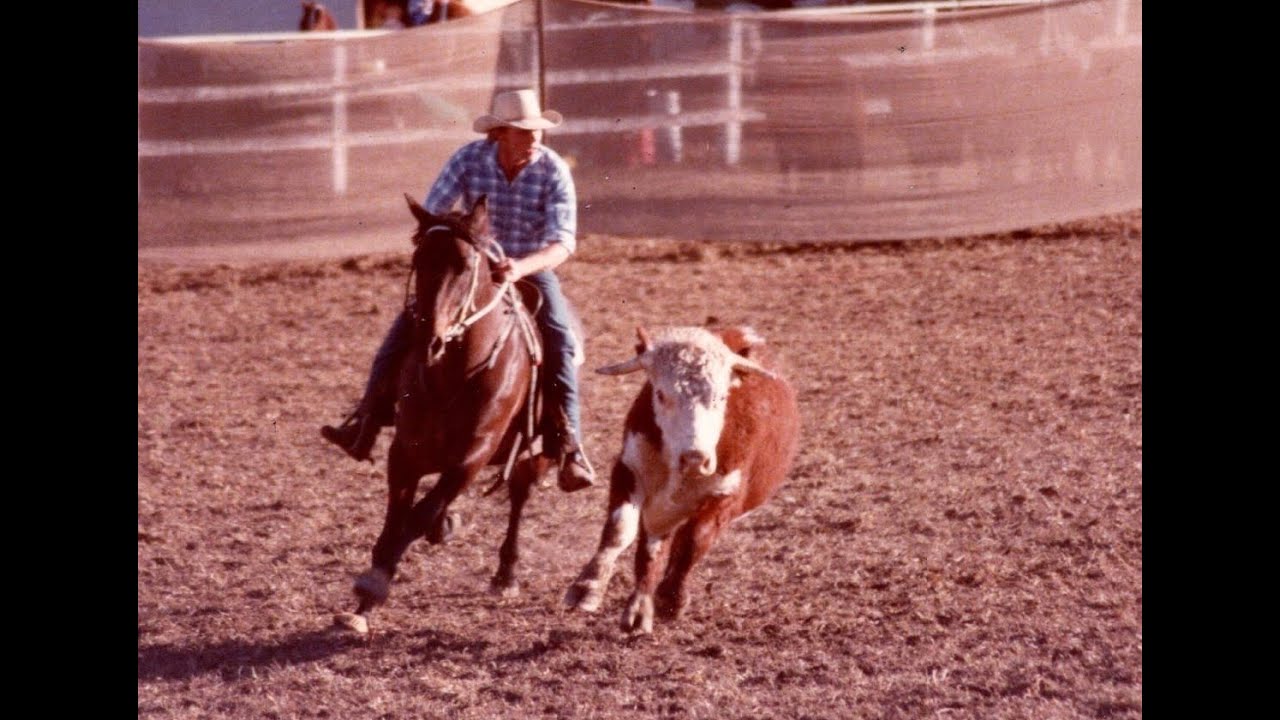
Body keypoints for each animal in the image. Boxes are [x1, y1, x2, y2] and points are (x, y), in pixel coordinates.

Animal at [333, 194, 555, 635]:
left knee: (519, 496)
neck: (452, 376)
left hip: (532, 452)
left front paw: (376, 582)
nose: (428, 339)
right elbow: (397, 518)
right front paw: (365, 600)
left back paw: (506, 574)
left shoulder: (470, 458)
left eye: (465, 266)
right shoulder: (404, 452)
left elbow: (418, 516)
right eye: (419, 260)